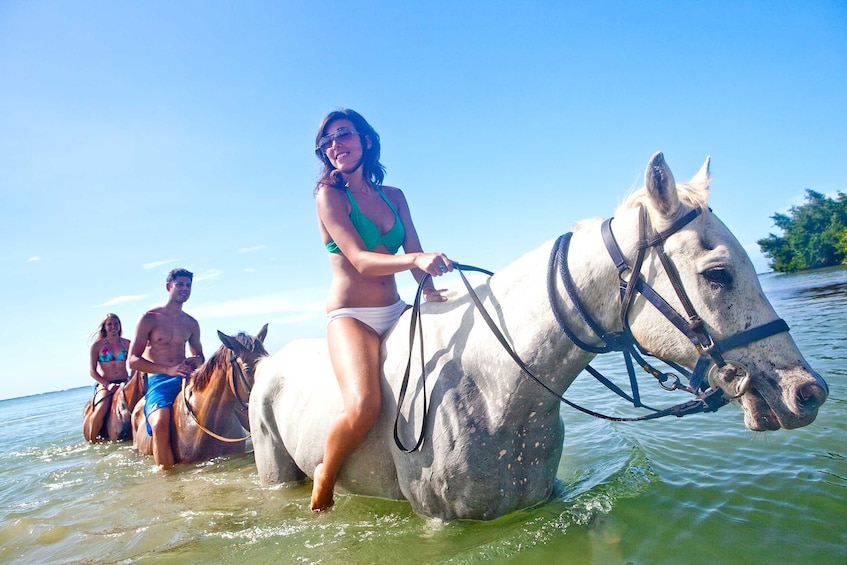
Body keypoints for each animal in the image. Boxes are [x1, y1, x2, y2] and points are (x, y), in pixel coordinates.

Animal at [250, 153, 828, 520]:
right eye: (718, 274)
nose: (808, 391)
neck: (499, 388)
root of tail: (265, 365)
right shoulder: (442, 523)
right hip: (276, 469)